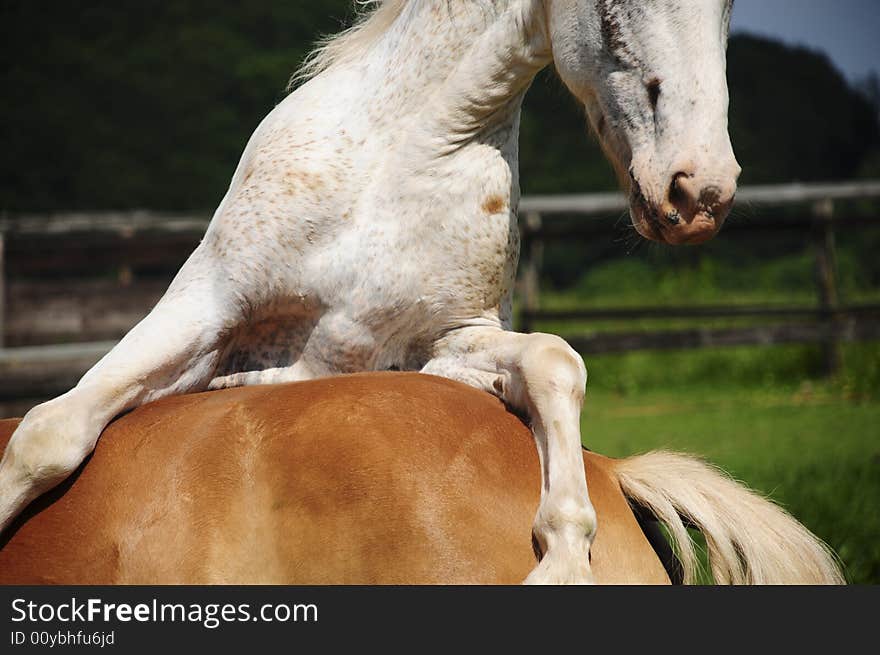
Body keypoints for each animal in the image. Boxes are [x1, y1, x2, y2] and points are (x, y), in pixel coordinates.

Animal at [1, 0, 744, 584]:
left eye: (729, 5)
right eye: (615, 4)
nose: (699, 191)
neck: (403, 155)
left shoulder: (430, 347)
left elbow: (554, 359)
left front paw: (563, 556)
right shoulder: (206, 312)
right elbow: (47, 434)